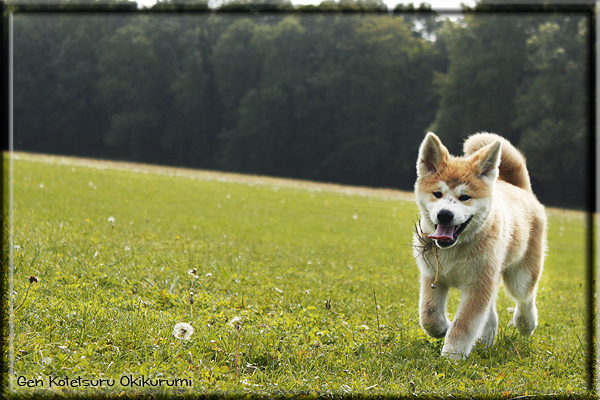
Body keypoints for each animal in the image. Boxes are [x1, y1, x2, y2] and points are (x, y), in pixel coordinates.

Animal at [412, 132, 548, 360]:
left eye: (465, 197)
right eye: (437, 194)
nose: (445, 215)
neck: (455, 250)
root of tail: (521, 190)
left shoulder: (478, 286)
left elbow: (464, 324)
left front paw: (452, 356)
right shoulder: (433, 277)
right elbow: (429, 316)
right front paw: (443, 328)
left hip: (519, 276)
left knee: (526, 297)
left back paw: (526, 324)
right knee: (491, 316)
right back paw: (485, 343)